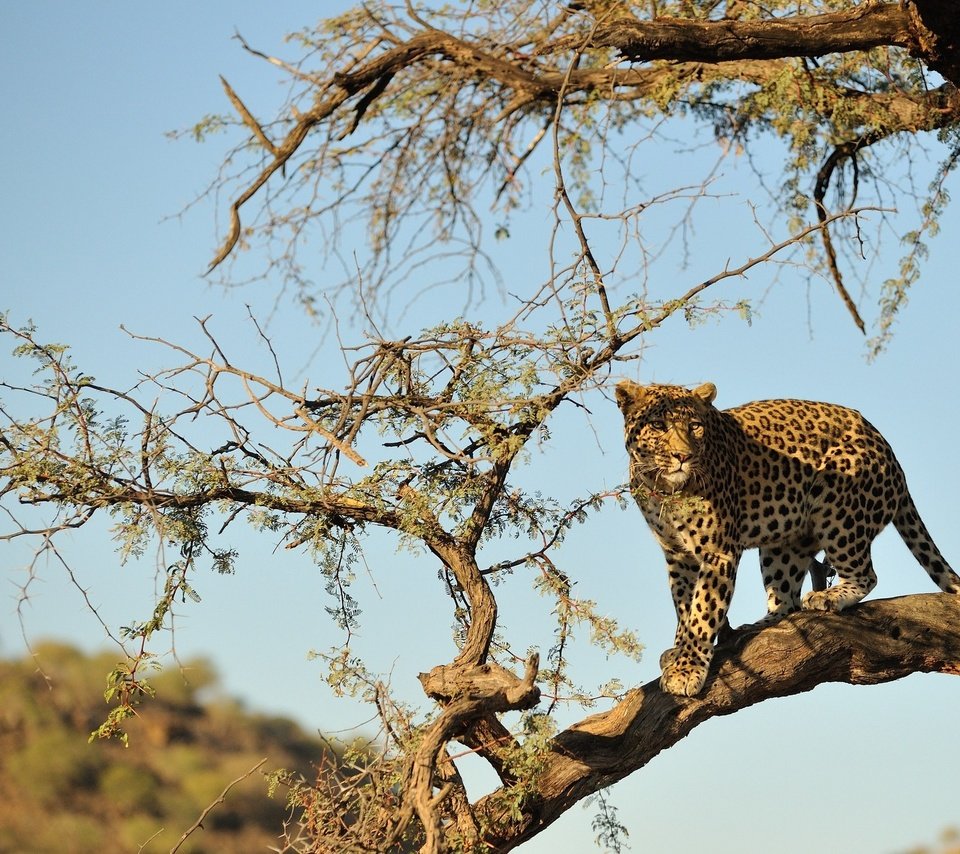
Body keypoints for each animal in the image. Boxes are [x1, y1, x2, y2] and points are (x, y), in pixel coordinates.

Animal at [616, 382, 960, 696]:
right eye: (658, 426)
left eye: (695, 427)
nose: (683, 456)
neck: (663, 487)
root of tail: (890, 452)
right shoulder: (677, 554)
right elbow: (684, 605)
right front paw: (678, 652)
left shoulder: (718, 550)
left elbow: (702, 609)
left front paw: (687, 669)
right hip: (784, 542)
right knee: (787, 599)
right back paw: (756, 626)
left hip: (839, 508)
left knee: (866, 574)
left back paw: (830, 596)